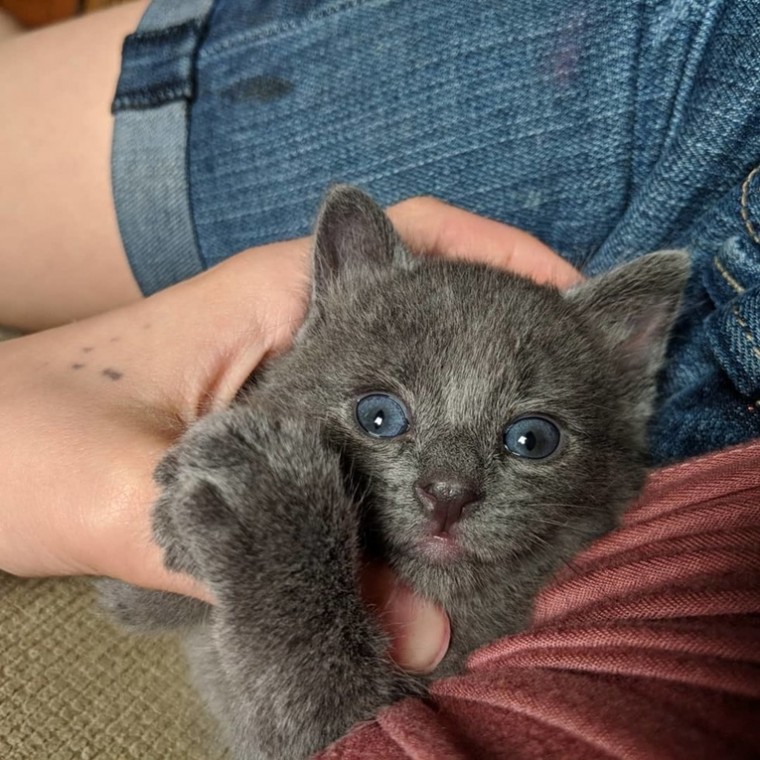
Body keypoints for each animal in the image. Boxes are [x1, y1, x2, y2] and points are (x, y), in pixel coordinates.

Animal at [100, 185, 690, 759]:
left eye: (532, 440)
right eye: (378, 416)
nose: (448, 493)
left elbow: (311, 700)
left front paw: (266, 512)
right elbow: (136, 599)